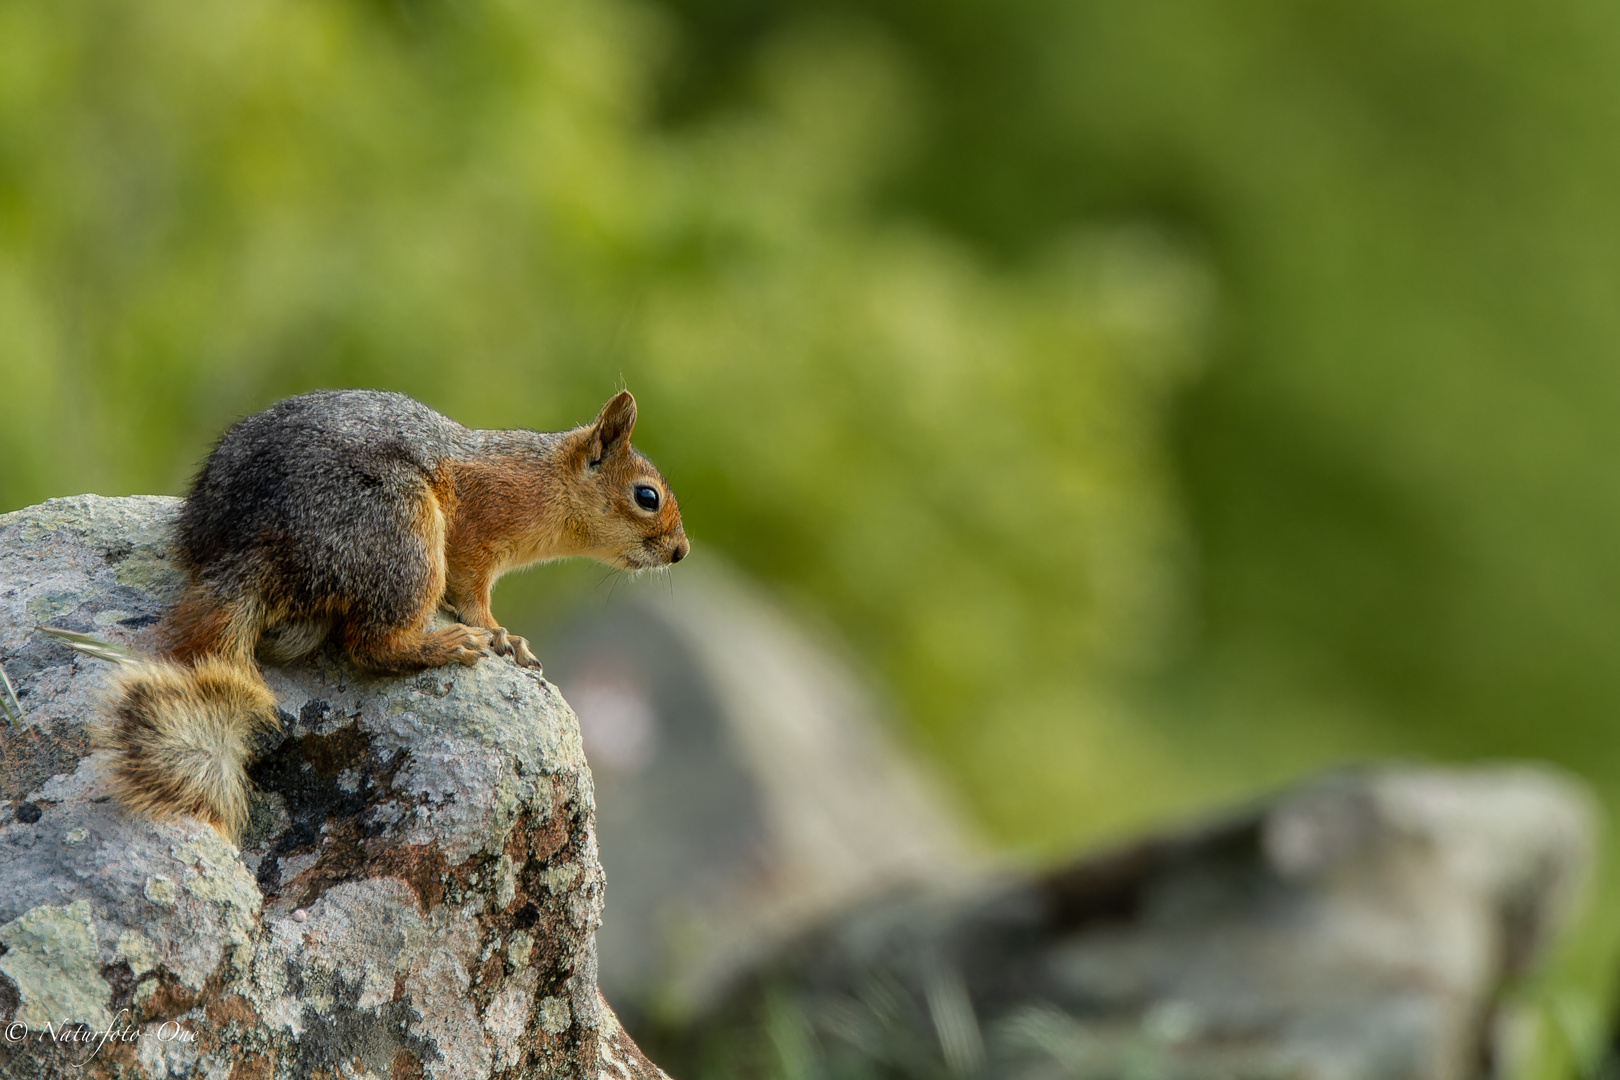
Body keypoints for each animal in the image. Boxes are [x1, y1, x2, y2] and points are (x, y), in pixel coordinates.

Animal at [78, 393, 686, 841]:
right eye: (647, 496)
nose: (681, 551)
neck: (546, 481)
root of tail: (260, 546)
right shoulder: (478, 537)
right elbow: (473, 593)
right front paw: (501, 635)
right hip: (406, 533)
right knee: (371, 645)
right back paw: (448, 644)